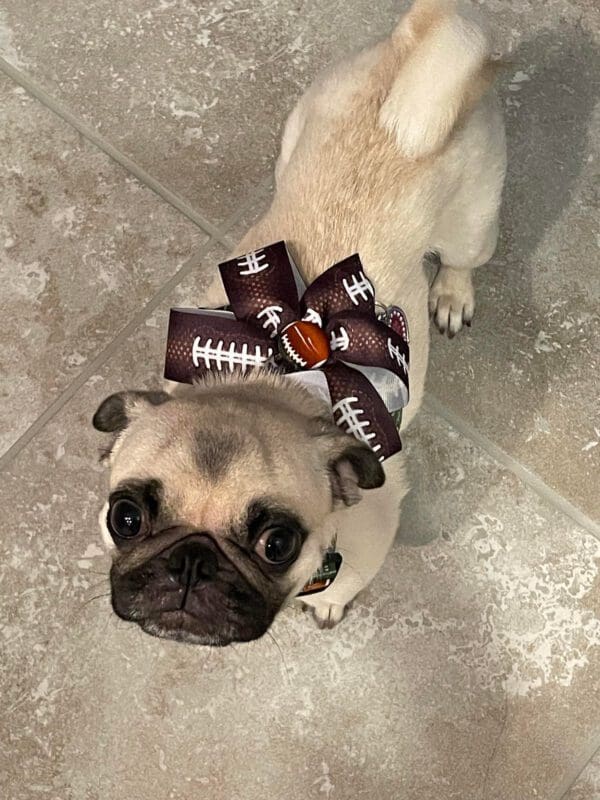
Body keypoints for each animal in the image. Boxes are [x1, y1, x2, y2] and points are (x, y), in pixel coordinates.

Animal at [94, 0, 506, 640]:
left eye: (278, 544)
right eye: (126, 517)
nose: (191, 562)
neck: (264, 377)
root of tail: (419, 45)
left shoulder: (368, 543)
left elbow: (344, 585)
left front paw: (328, 604)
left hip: (474, 222)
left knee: (463, 259)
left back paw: (451, 295)